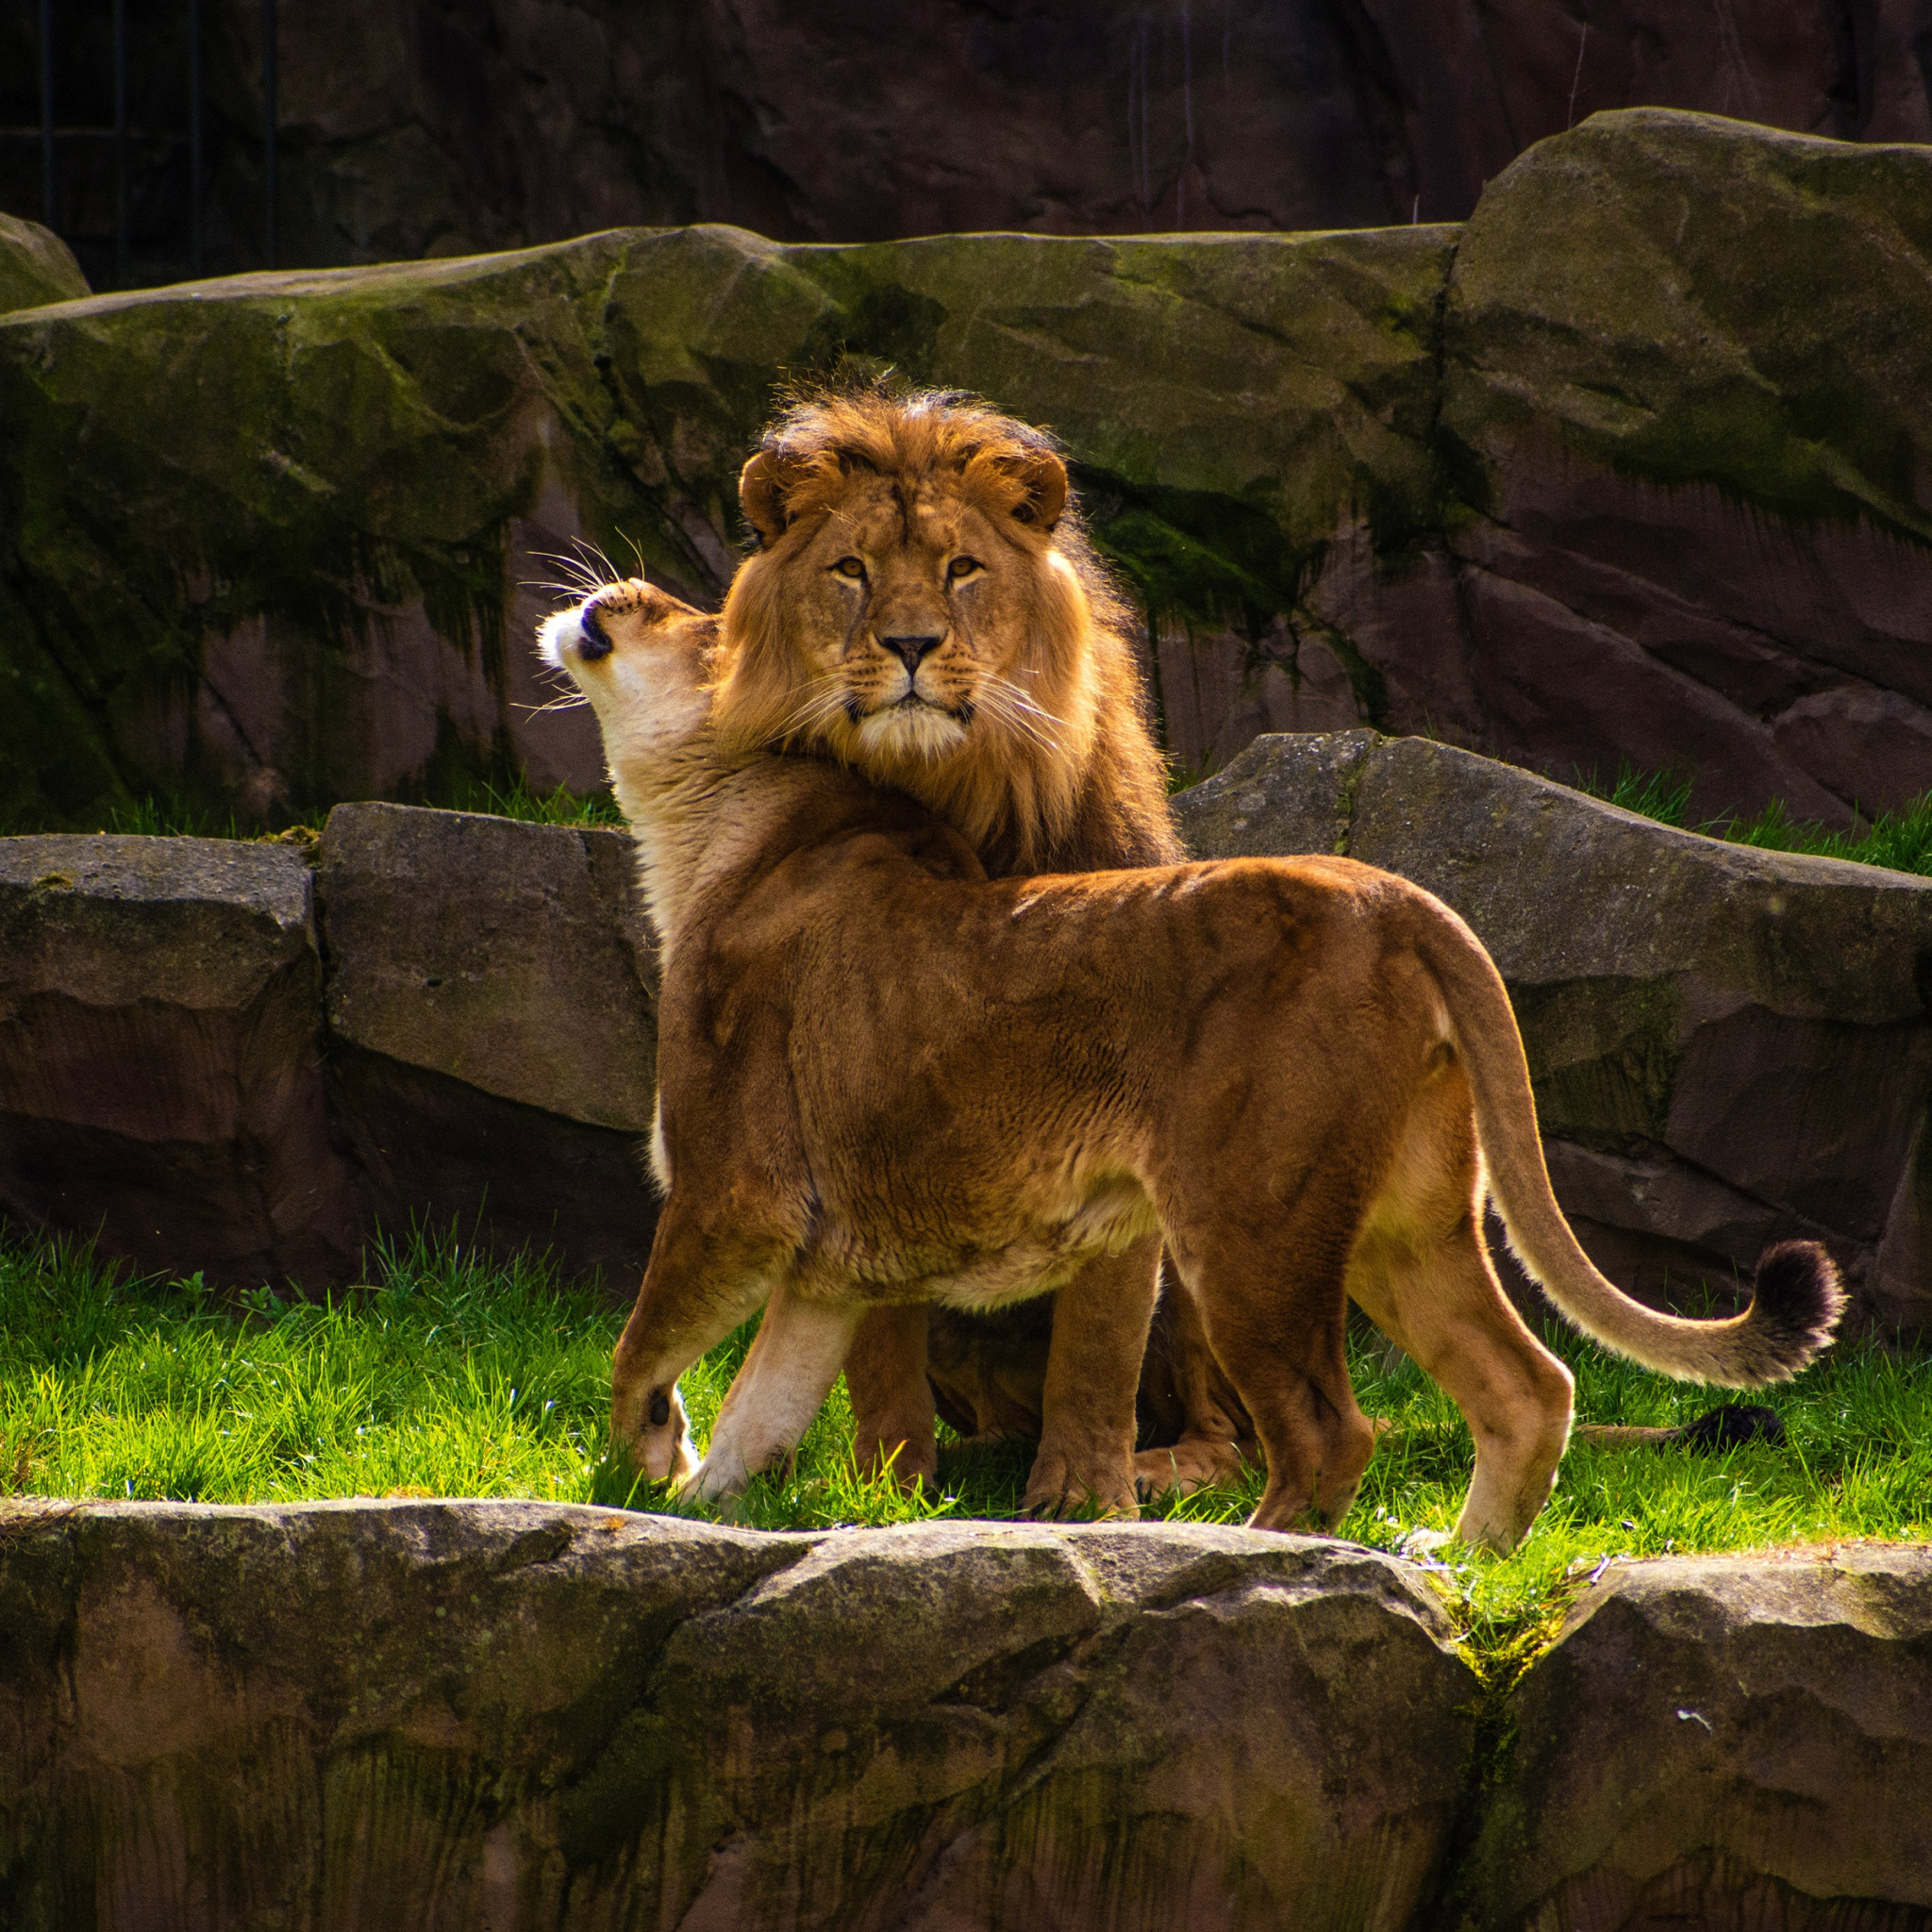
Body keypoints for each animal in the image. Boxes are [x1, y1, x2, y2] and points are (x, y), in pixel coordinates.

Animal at [533, 572, 1839, 1553]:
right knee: (1529, 1387)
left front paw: (636, 1467)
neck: (714, 828)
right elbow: (767, 1400)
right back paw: (1459, 1557)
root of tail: (1391, 891)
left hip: (1246, 1220)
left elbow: (642, 1343)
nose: (606, 588)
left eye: (688, 615)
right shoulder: (824, 1264)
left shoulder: (735, 1195)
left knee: (1328, 1430)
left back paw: (1254, 1547)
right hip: (1402, 1221)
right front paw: (703, 1497)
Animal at [710, 384, 1236, 1514]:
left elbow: (1098, 1339)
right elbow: (874, 1344)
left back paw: (1164, 1465)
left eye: (961, 568)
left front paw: (1084, 1497)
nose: (909, 644)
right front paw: (886, 1487)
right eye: (851, 570)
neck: (947, 800)